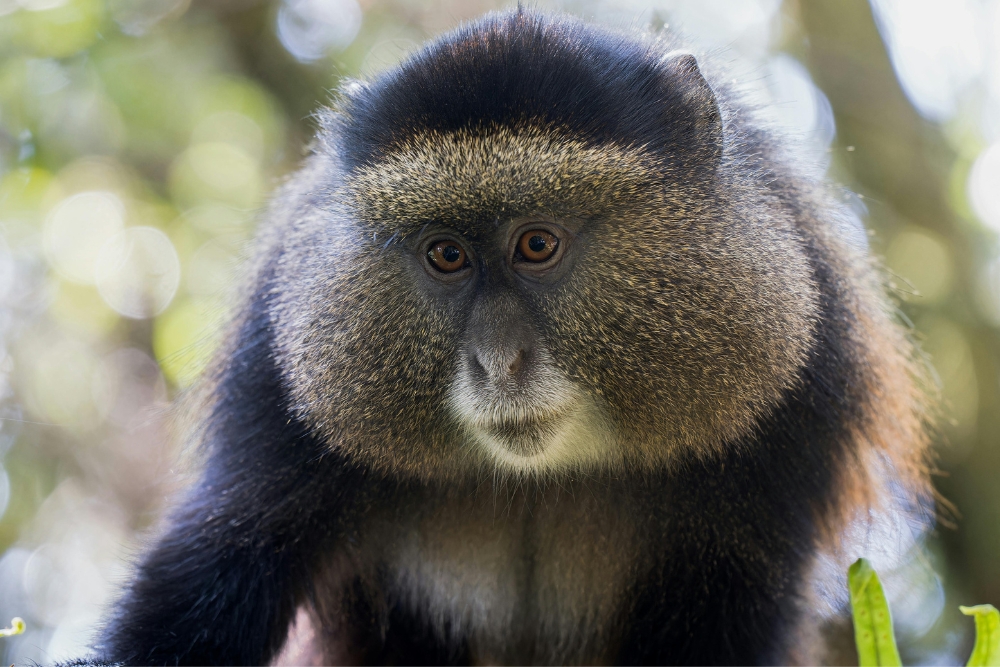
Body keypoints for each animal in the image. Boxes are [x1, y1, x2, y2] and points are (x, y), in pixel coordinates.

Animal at [88, 8, 933, 666]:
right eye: (446, 255)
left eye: (537, 244)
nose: (499, 363)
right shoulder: (277, 374)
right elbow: (213, 567)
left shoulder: (795, 400)